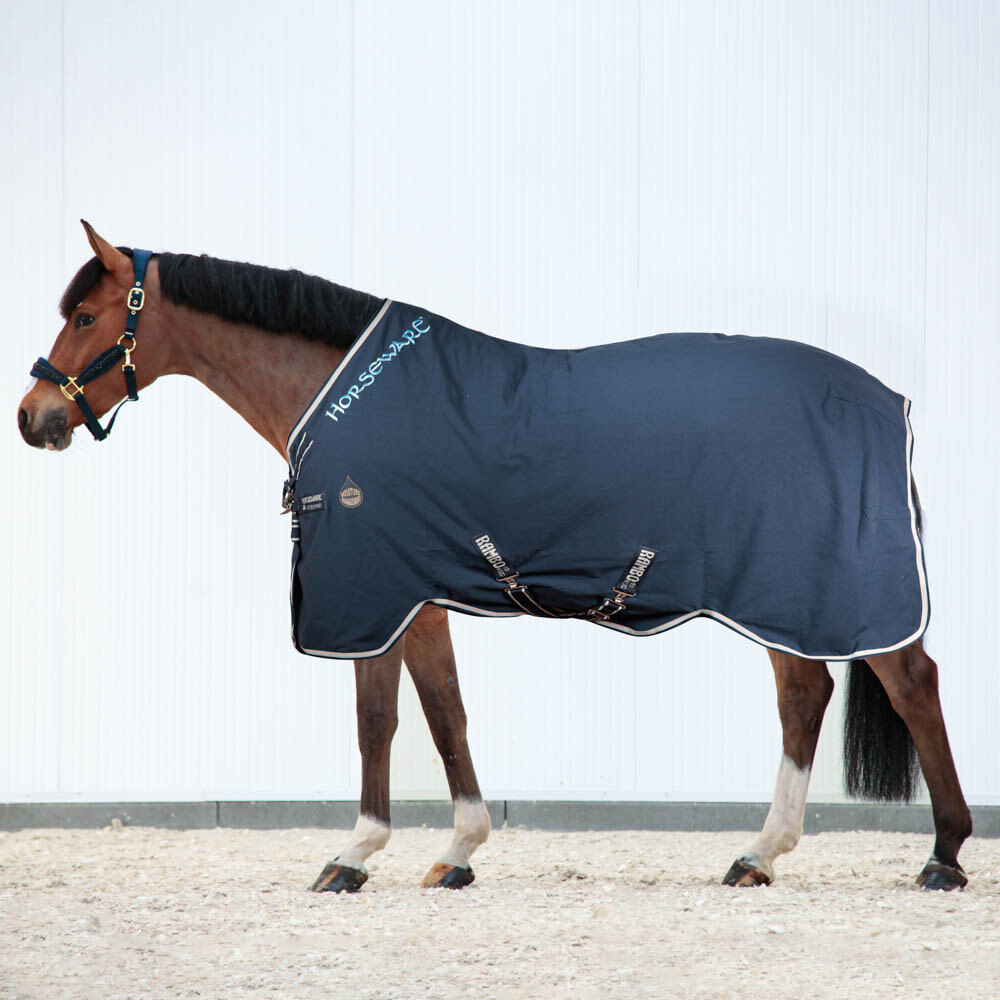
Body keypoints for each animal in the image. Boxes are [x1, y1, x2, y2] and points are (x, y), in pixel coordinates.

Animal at [18, 221, 972, 892]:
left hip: (819, 590)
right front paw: (459, 851)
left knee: (909, 683)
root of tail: (885, 400)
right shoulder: (420, 599)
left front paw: (355, 855)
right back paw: (760, 855)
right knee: (806, 696)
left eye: (87, 315)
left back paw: (944, 854)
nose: (35, 418)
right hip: (781, 596)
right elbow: (445, 714)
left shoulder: (372, 594)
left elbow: (378, 720)